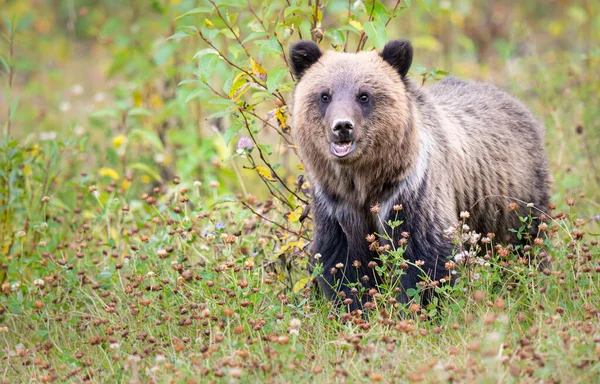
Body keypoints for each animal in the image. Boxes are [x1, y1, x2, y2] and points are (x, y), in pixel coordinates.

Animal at [290, 39, 548, 308]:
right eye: (324, 95)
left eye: (364, 95)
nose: (342, 126)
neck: (364, 181)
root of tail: (514, 101)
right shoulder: (336, 204)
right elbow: (343, 263)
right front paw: (356, 305)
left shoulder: (411, 192)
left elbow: (425, 257)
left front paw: (415, 306)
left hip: (513, 198)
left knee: (525, 241)